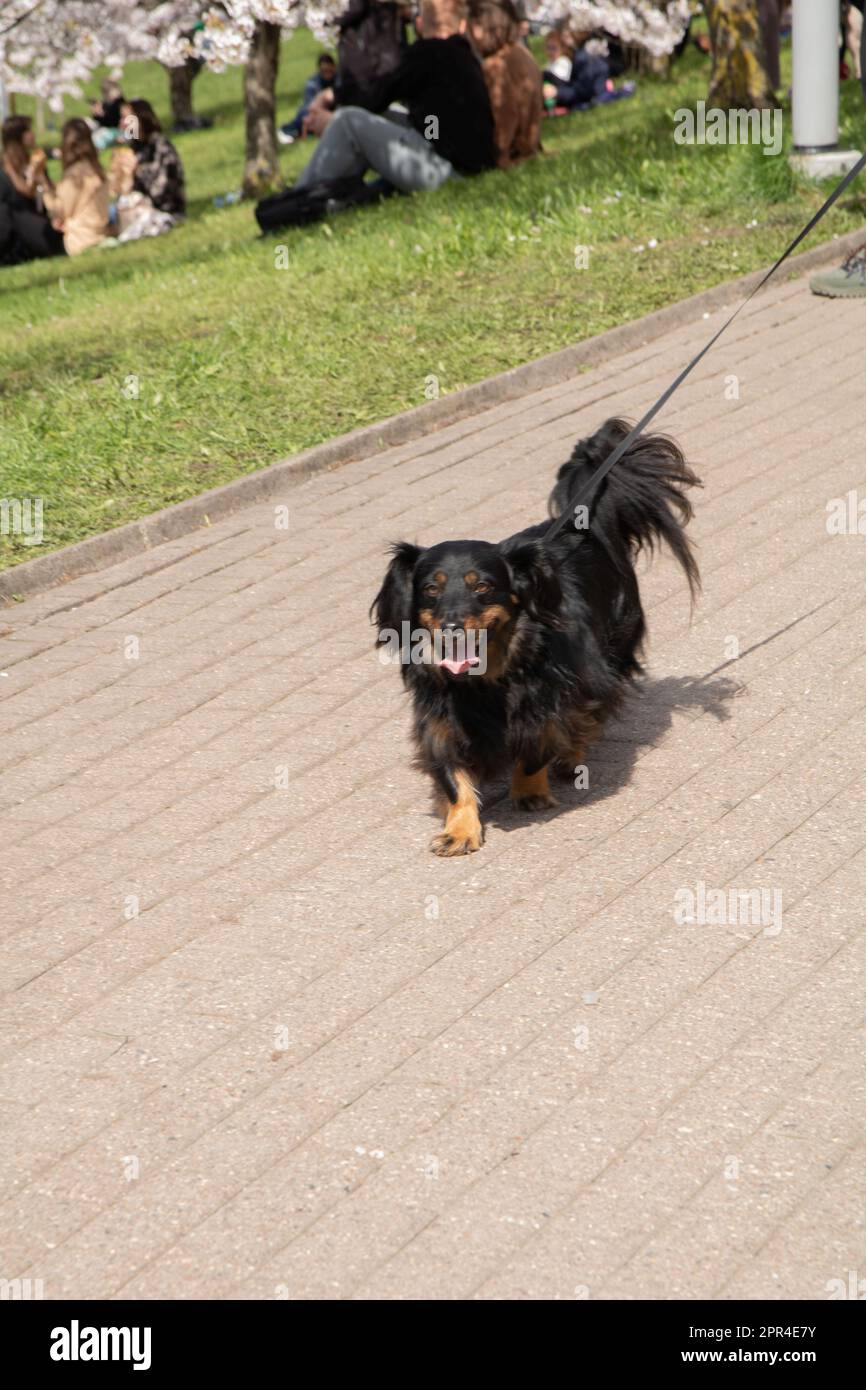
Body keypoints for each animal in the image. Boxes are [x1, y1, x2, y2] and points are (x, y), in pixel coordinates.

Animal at [369, 411, 697, 850]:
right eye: (430, 589)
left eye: (482, 586)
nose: (452, 627)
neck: (487, 676)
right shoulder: (439, 717)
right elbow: (452, 774)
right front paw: (460, 829)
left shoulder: (553, 697)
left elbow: (540, 742)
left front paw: (529, 790)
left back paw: (572, 757)